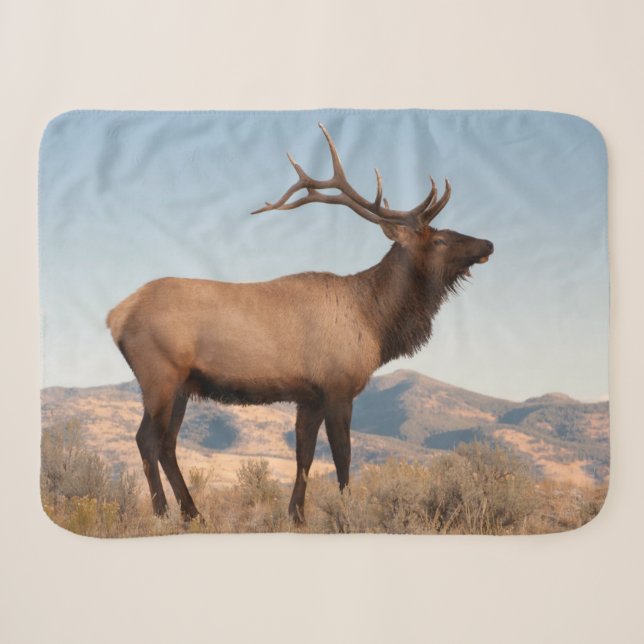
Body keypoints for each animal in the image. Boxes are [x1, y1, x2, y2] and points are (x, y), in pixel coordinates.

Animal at [107, 123, 493, 524]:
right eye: (440, 239)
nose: (488, 244)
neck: (375, 322)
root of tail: (115, 316)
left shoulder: (309, 396)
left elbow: (303, 455)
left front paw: (297, 514)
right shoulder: (338, 386)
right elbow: (342, 455)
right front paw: (346, 512)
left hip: (181, 385)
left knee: (167, 443)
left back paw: (192, 513)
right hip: (159, 376)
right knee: (146, 439)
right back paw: (162, 512)